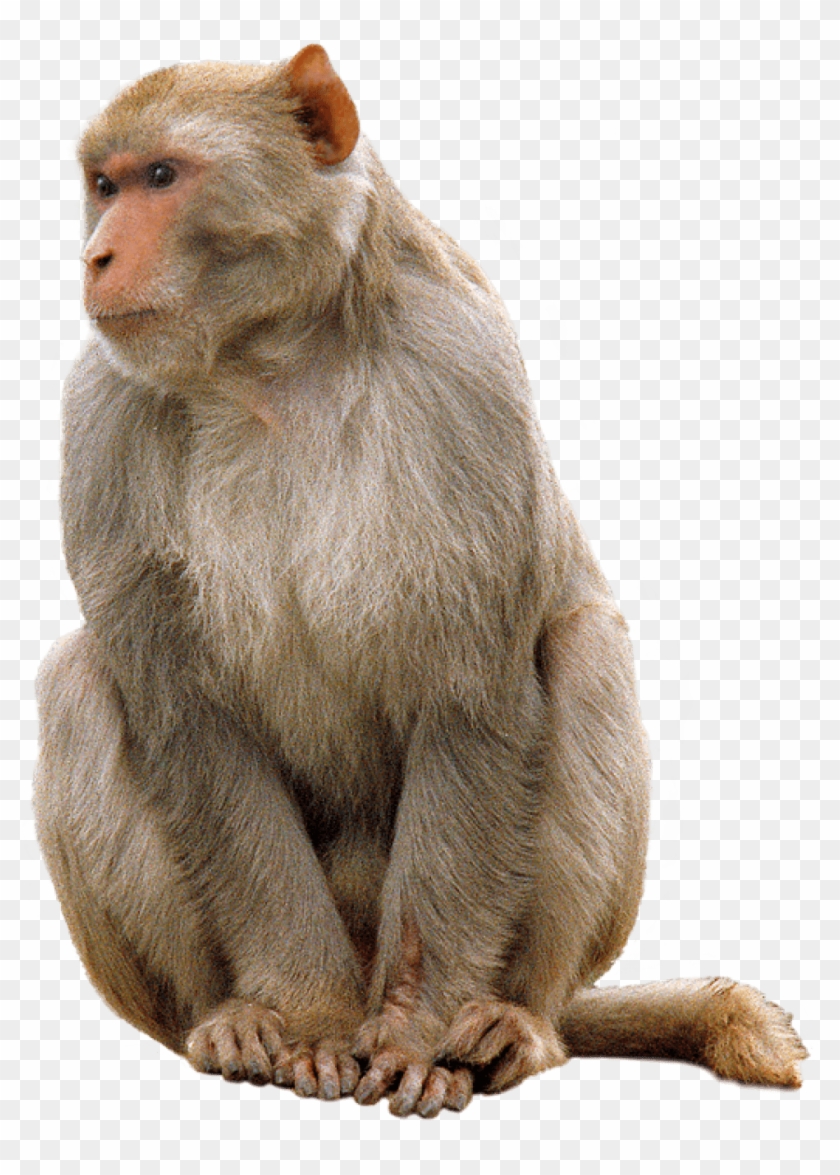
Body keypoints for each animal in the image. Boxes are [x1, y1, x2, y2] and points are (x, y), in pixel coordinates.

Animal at [33, 44, 807, 1118]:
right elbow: (192, 724)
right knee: (78, 680)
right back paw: (228, 1019)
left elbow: (470, 699)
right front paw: (308, 1018)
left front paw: (413, 1032)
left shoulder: (462, 378)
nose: (96, 256)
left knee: (584, 649)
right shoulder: (102, 414)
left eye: (161, 176)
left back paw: (514, 1023)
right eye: (103, 186)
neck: (270, 360)